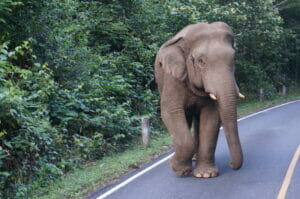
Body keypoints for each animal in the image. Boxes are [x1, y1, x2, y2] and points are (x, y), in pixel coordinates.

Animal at [155, 21, 244, 177]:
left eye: (235, 58)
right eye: (201, 61)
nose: (231, 164)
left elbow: (211, 116)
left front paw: (206, 175)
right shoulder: (172, 78)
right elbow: (170, 112)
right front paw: (179, 169)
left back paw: (195, 159)